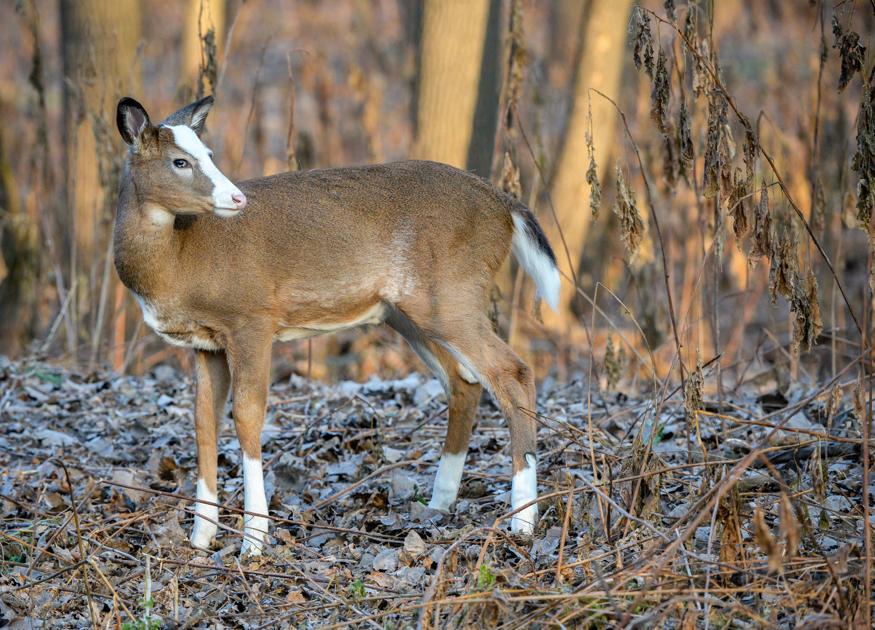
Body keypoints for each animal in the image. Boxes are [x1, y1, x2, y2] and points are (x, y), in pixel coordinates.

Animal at [114, 95, 560, 556]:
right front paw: (200, 538)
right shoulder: (205, 344)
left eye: (208, 154)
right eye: (180, 161)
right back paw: (440, 503)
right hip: (408, 310)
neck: (178, 262)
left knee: (512, 372)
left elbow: (248, 416)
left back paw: (522, 522)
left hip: (453, 293)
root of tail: (505, 203)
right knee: (464, 382)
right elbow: (204, 422)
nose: (236, 198)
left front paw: (254, 539)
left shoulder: (251, 319)